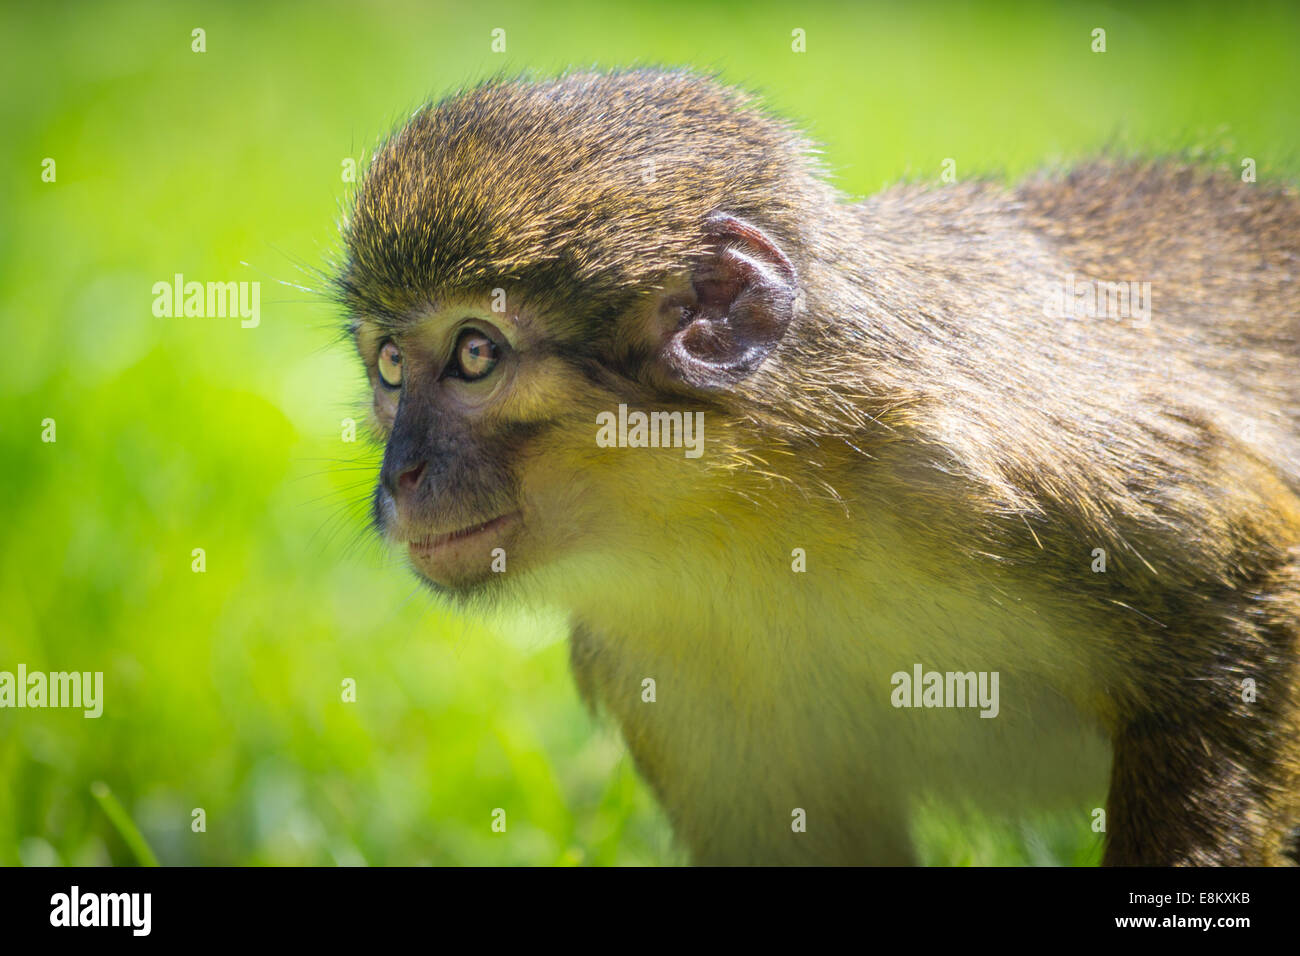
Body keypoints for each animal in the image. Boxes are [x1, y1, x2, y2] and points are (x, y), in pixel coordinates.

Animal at [335, 67, 1300, 868]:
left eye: (474, 354)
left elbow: (1249, 588)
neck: (756, 509)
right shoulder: (658, 658)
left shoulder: (1007, 466)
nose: (400, 477)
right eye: (390, 367)